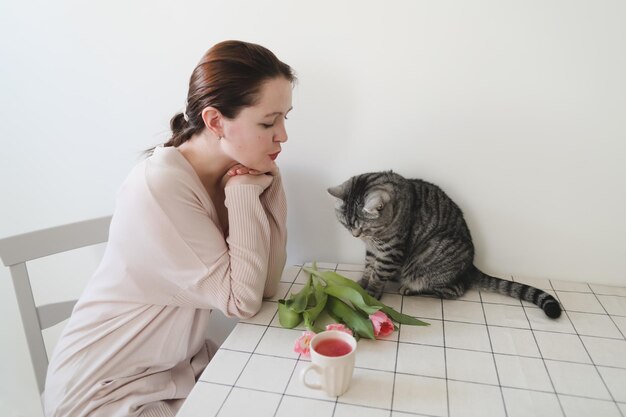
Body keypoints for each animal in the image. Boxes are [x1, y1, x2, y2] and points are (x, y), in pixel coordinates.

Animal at [326, 171, 560, 316]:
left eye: (363, 227)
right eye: (346, 225)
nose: (355, 235)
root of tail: (471, 267)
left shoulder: (390, 251)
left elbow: (378, 274)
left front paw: (370, 294)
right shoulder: (373, 251)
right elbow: (368, 268)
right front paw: (362, 284)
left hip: (427, 258)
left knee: (453, 290)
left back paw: (410, 289)